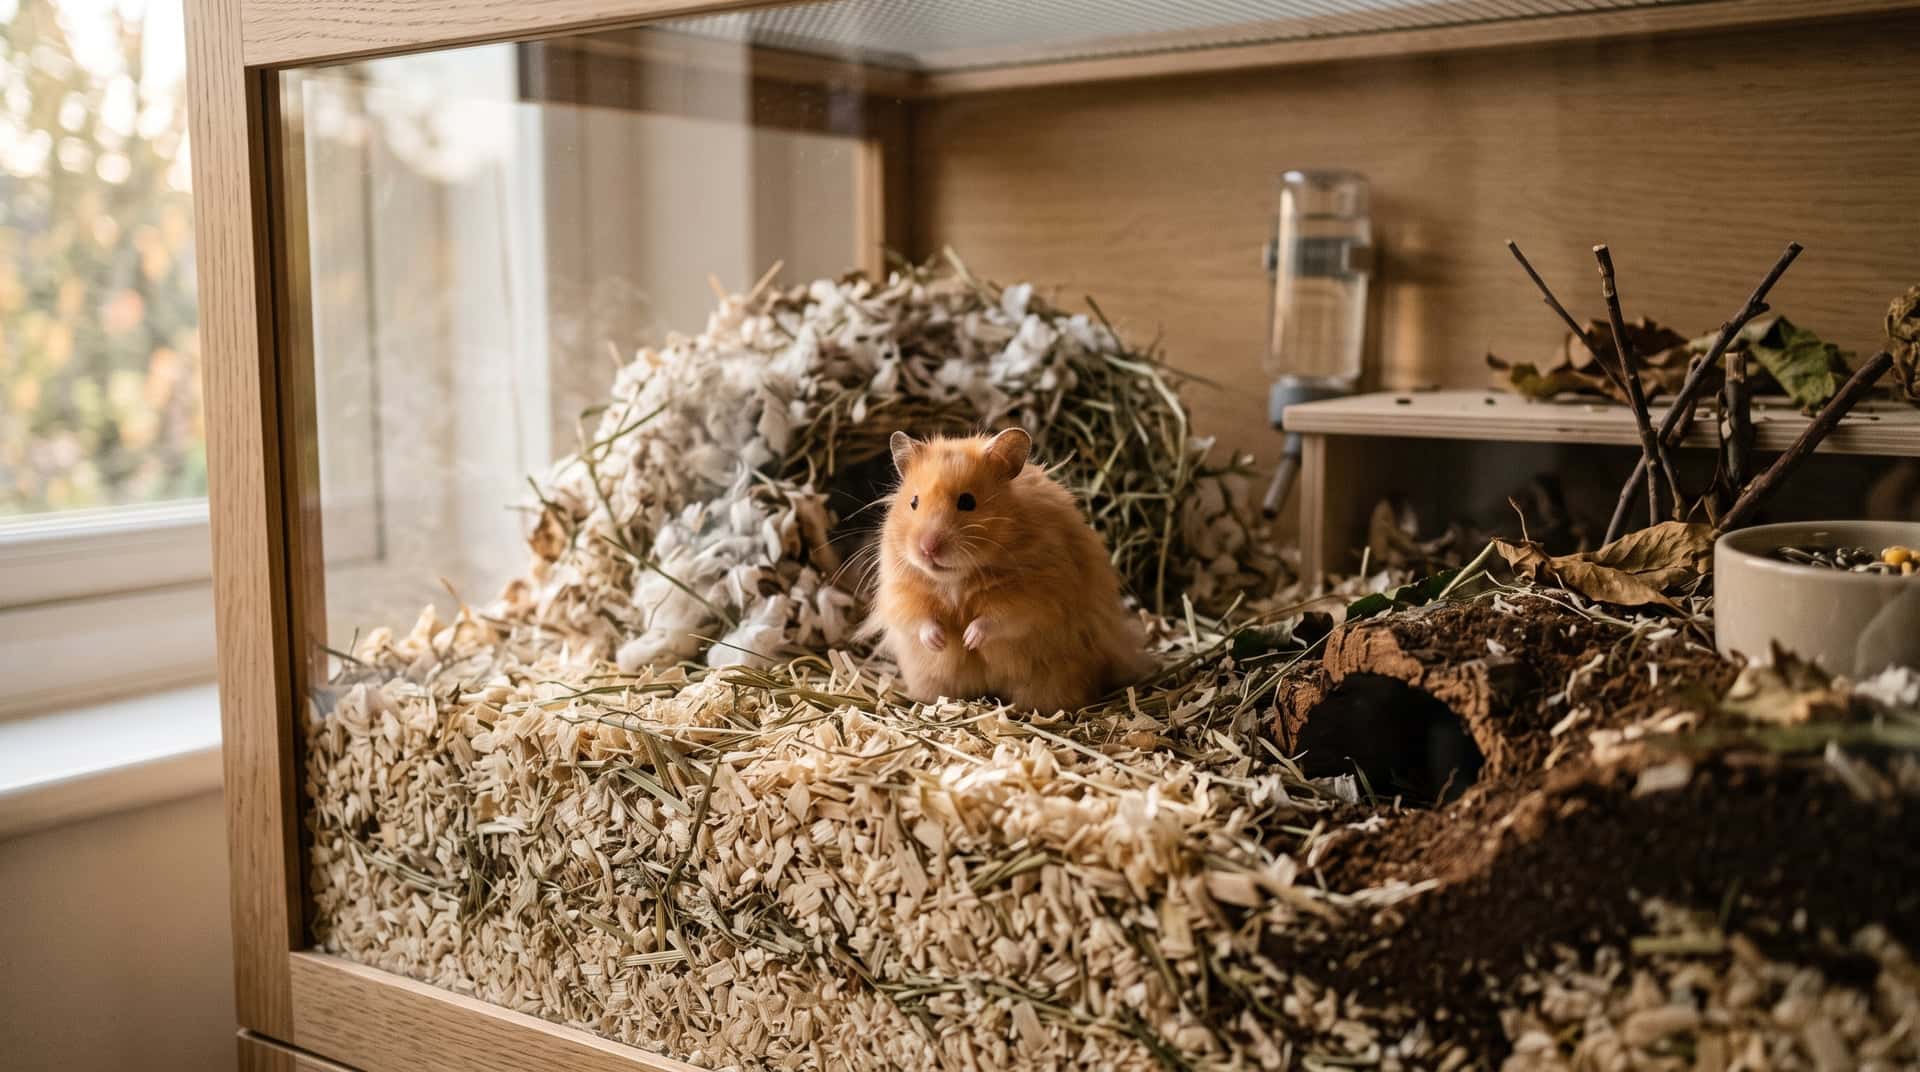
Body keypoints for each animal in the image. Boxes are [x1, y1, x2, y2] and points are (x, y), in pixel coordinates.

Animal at [866, 427, 1150, 713]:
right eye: (913, 502)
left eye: (967, 501)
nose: (927, 549)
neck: (957, 577)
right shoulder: (899, 588)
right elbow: (918, 617)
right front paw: (941, 641)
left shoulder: (1036, 594)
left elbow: (999, 618)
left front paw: (969, 638)